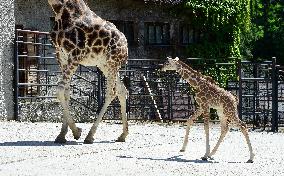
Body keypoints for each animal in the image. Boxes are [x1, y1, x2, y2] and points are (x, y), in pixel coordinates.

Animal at [47, 0, 129, 144]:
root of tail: (126, 46)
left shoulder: (75, 55)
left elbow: (60, 89)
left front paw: (76, 131)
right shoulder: (61, 56)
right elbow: (66, 92)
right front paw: (62, 135)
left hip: (112, 64)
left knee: (111, 92)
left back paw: (90, 135)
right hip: (106, 66)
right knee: (122, 90)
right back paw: (123, 135)